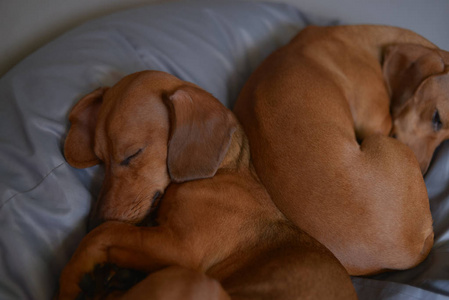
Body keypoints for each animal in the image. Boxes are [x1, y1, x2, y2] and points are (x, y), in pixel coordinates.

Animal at [56, 71, 356, 300]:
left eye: (132, 154)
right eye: (101, 159)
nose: (91, 221)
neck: (220, 173)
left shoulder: (180, 248)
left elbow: (106, 232)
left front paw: (70, 279)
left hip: (194, 280)